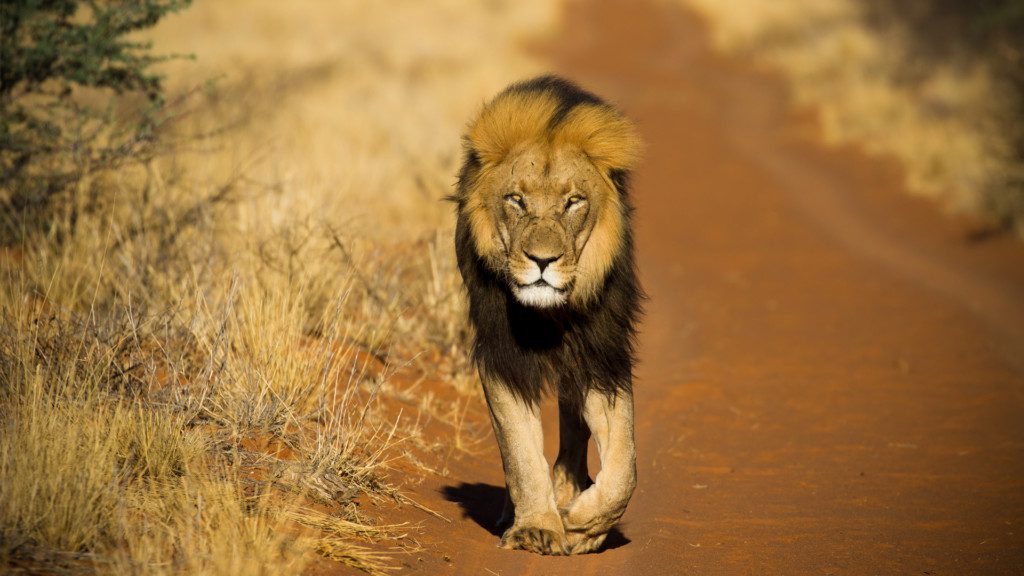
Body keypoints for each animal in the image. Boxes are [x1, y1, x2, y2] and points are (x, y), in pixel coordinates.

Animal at [452, 75, 643, 553]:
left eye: (574, 201)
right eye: (516, 200)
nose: (543, 261)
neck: (549, 315)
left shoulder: (601, 352)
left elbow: (625, 464)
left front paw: (584, 525)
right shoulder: (501, 354)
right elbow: (519, 448)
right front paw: (536, 526)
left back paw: (569, 491)